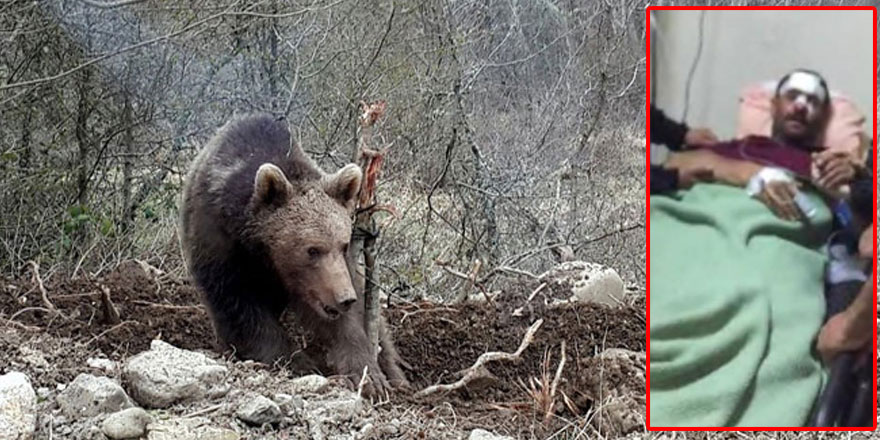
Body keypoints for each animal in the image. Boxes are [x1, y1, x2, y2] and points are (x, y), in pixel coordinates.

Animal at [180, 114, 412, 396]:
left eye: (343, 245)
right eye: (312, 249)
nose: (344, 298)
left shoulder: (330, 277)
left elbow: (344, 322)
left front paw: (368, 376)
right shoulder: (220, 243)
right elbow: (239, 306)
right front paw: (298, 361)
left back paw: (396, 375)